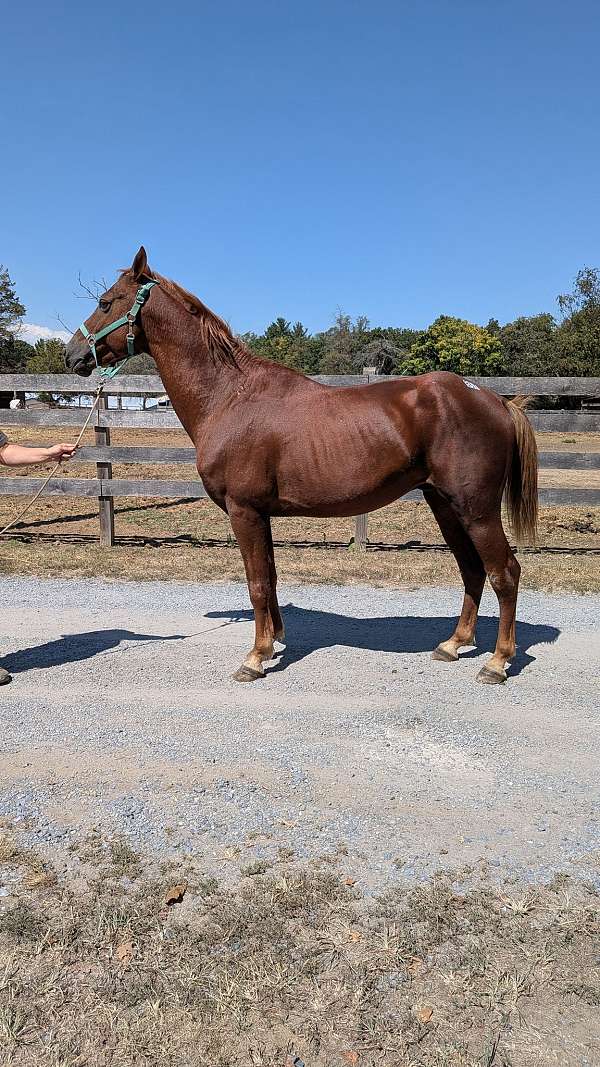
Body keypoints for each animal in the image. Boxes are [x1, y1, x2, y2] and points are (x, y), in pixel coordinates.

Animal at [65, 247, 538, 686]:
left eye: (106, 302)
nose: (71, 355)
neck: (229, 397)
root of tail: (492, 398)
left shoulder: (244, 511)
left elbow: (257, 583)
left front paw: (254, 658)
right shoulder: (261, 514)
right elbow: (271, 579)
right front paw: (273, 641)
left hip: (476, 510)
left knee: (505, 573)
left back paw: (497, 662)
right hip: (445, 506)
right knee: (472, 570)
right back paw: (454, 644)